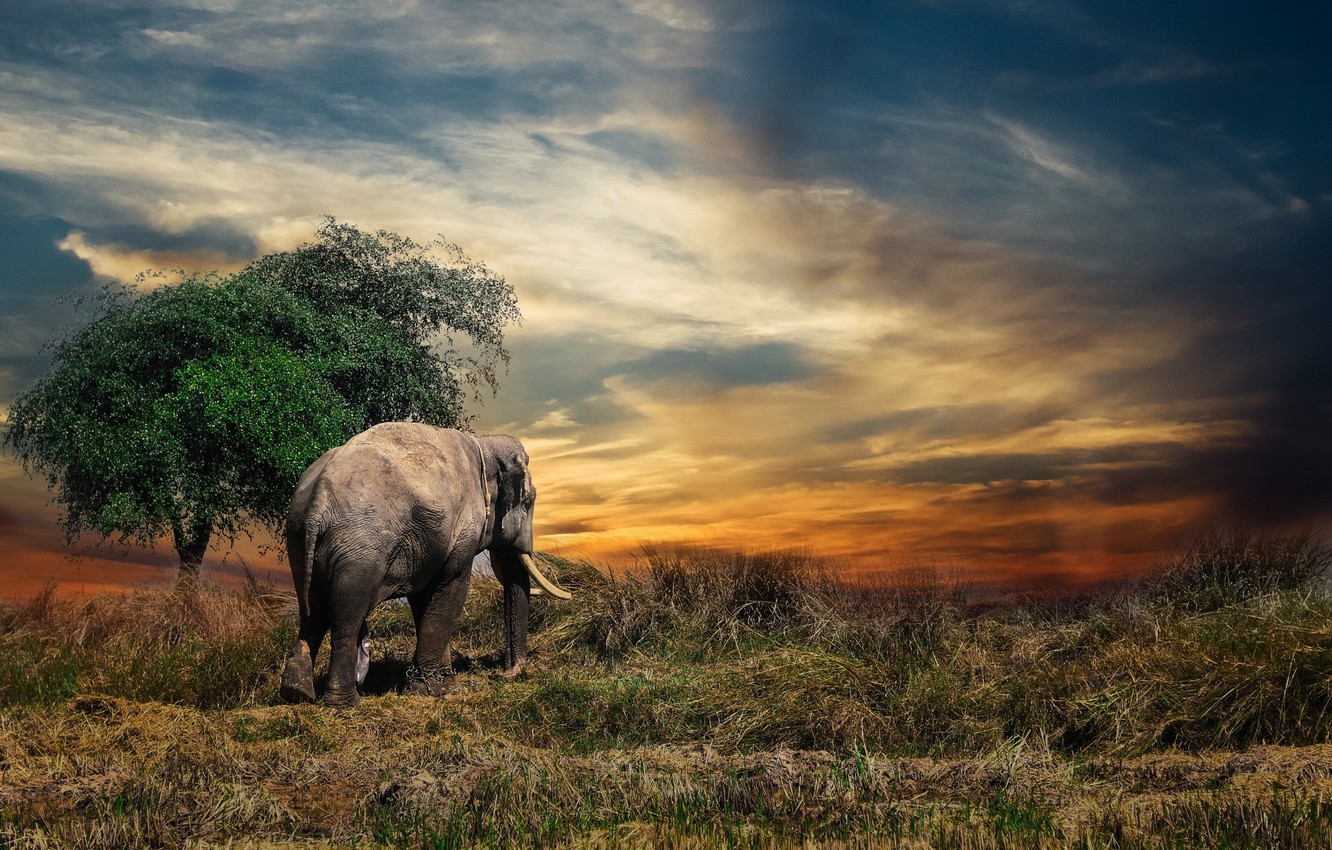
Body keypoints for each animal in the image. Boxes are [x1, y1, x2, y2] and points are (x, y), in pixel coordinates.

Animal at [278, 422, 572, 707]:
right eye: (529, 502)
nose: (501, 673)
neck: (484, 445)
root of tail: (319, 497)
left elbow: (425, 600)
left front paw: (444, 686)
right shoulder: (461, 532)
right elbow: (450, 592)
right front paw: (431, 690)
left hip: (299, 539)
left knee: (313, 610)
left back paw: (297, 693)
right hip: (359, 547)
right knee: (346, 616)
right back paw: (344, 703)